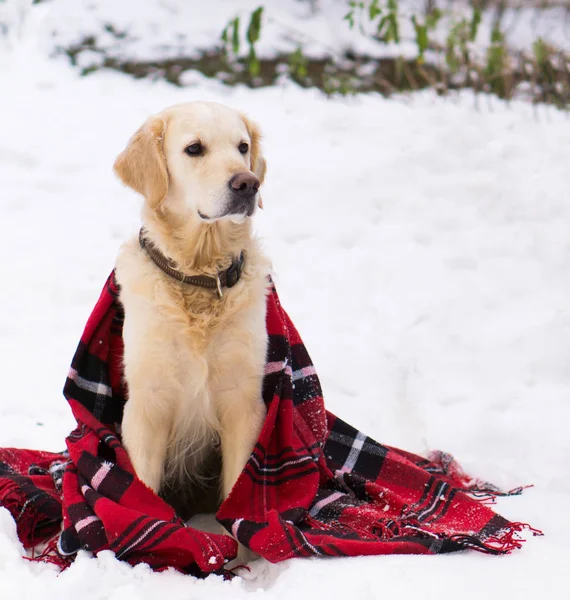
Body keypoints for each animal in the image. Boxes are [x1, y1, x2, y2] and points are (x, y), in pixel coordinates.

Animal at [113, 103, 270, 528]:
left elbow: (239, 493)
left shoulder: (243, 400)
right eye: (194, 148)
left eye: (242, 146)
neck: (200, 276)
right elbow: (142, 489)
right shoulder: (147, 402)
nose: (248, 184)